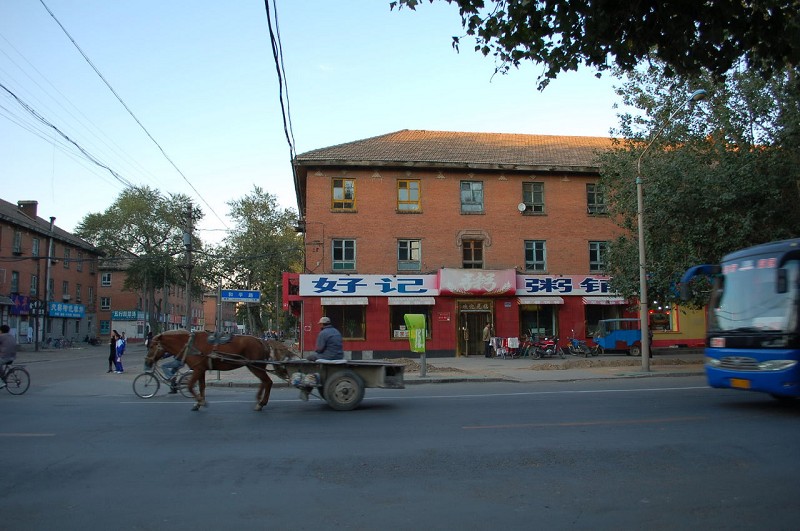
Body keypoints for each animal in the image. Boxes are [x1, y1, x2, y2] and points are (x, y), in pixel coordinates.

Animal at [145, 330, 294, 414]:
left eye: (152, 346)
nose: (147, 363)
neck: (190, 345)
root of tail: (262, 340)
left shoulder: (197, 369)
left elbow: (190, 386)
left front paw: (200, 401)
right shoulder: (201, 369)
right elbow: (201, 386)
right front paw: (199, 402)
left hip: (255, 365)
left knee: (267, 382)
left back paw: (261, 403)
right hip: (255, 366)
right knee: (265, 382)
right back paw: (260, 401)